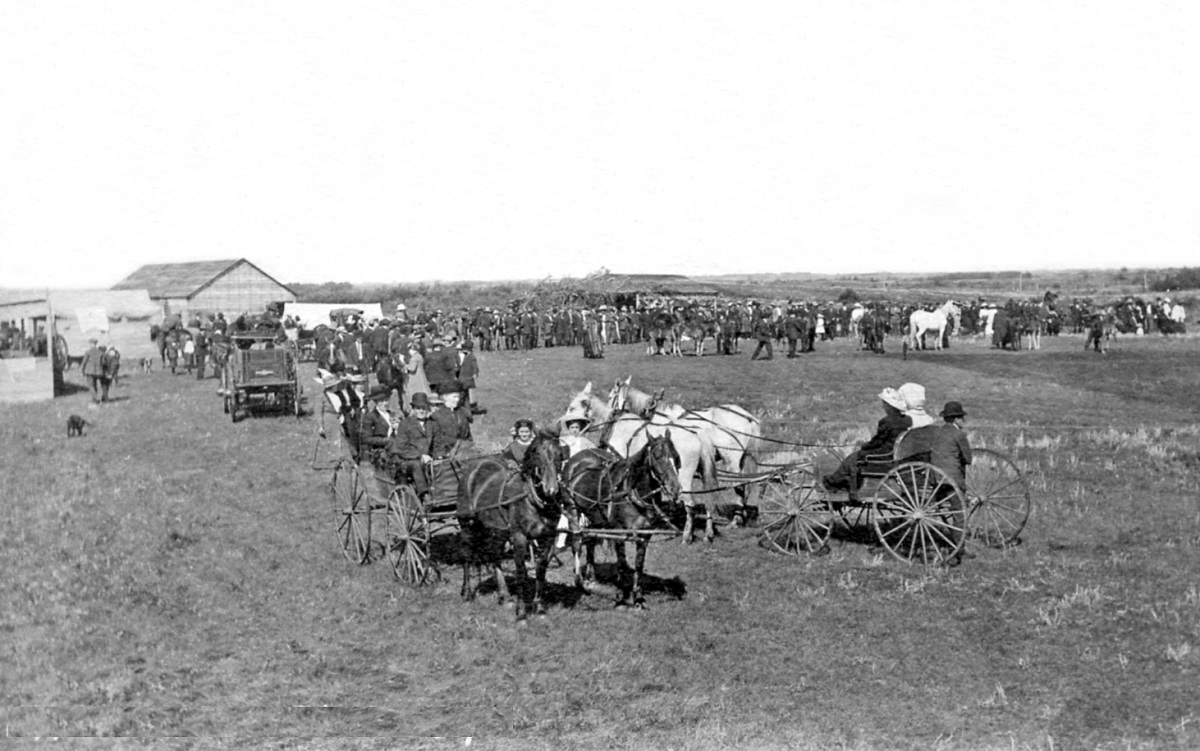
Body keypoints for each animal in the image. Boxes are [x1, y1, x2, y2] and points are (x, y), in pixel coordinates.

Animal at [460, 429, 568, 619]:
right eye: (537, 453)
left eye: (559, 454)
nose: (551, 489)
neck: (532, 499)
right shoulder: (519, 536)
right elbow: (521, 572)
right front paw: (522, 611)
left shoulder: (547, 536)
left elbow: (541, 570)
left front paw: (539, 607)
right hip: (467, 524)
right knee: (467, 556)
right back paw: (467, 593)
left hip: (497, 529)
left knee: (494, 555)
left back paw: (504, 595)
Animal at [561, 383, 710, 539]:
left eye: (572, 408)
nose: (563, 425)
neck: (614, 425)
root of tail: (697, 438)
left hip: (683, 480)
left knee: (690, 504)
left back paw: (686, 536)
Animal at [561, 429, 686, 604]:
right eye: (657, 456)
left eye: (676, 457)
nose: (675, 489)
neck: (633, 491)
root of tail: (577, 457)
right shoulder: (619, 532)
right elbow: (621, 564)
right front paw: (621, 592)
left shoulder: (644, 534)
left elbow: (639, 564)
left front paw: (637, 596)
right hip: (571, 508)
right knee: (577, 542)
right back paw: (579, 581)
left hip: (595, 516)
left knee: (591, 541)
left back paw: (591, 578)